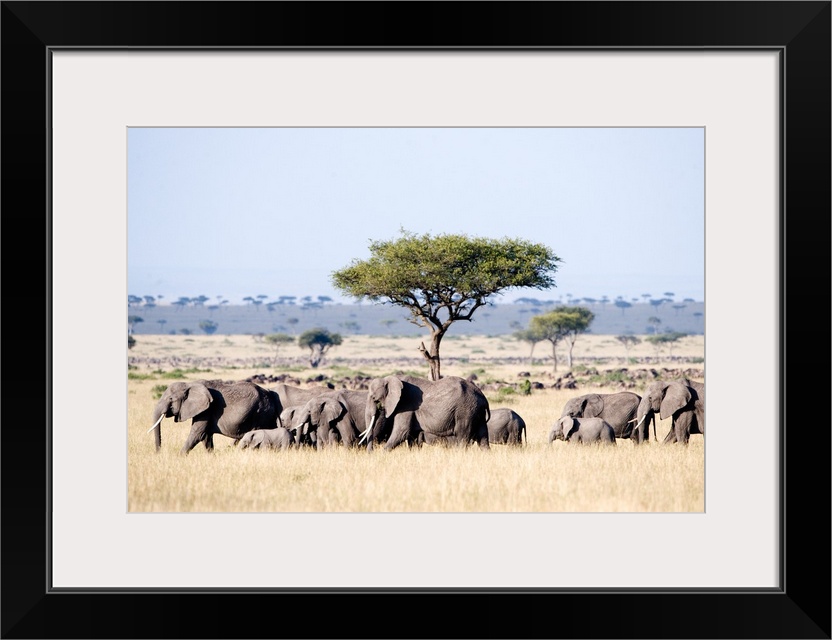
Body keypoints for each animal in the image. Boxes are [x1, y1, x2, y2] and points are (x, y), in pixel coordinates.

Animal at [148, 380, 278, 456]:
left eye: (170, 399)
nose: (158, 454)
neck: (190, 384)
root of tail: (270, 394)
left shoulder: (207, 409)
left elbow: (197, 434)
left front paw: (179, 457)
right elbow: (205, 436)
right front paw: (211, 456)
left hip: (261, 413)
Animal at [360, 376, 490, 450]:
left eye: (374, 398)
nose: (371, 453)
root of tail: (482, 395)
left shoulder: (405, 405)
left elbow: (401, 432)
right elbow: (412, 437)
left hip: (465, 411)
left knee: (462, 437)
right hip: (476, 411)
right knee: (483, 438)